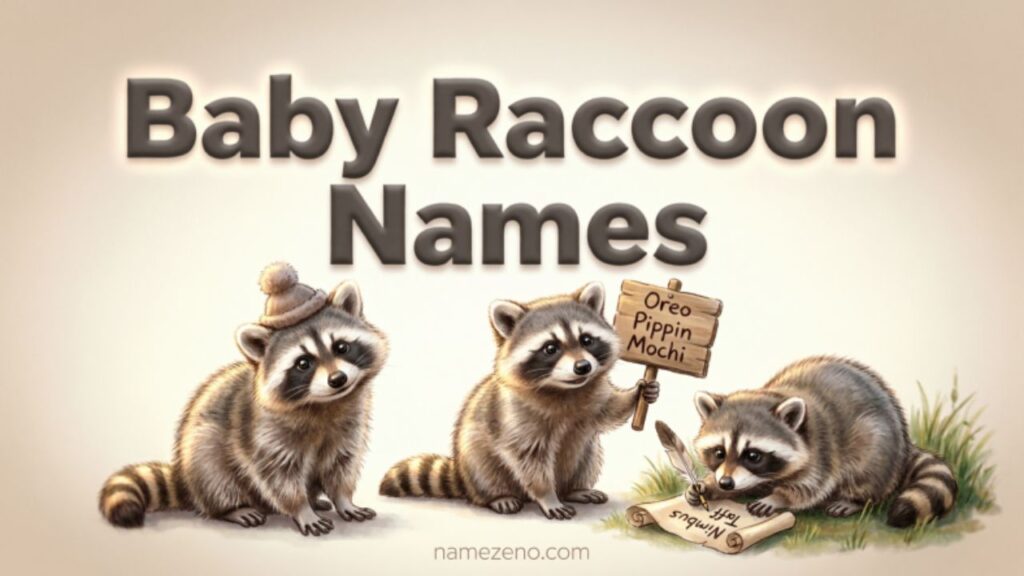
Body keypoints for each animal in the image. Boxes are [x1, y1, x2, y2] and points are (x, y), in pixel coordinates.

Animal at [98, 264, 388, 536]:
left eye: (342, 347)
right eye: (303, 363)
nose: (338, 379)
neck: (324, 404)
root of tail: (185, 480)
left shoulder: (349, 426)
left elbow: (342, 466)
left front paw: (343, 500)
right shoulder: (265, 435)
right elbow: (279, 478)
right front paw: (302, 510)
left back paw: (316, 500)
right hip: (202, 453)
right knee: (213, 473)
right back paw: (234, 508)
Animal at [379, 282, 659, 519]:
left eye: (586, 340)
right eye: (550, 348)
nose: (583, 367)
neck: (565, 389)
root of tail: (461, 475)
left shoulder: (593, 394)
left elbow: (609, 411)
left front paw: (637, 392)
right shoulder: (515, 415)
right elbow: (529, 460)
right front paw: (548, 497)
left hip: (585, 453)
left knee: (587, 457)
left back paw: (575, 489)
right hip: (474, 456)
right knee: (486, 472)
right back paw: (499, 496)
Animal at [685, 356, 957, 527]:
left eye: (753, 456)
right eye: (719, 452)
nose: (726, 482)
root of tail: (905, 443)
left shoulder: (823, 450)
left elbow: (809, 488)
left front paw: (778, 498)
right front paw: (707, 486)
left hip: (878, 445)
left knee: (868, 472)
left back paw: (853, 500)